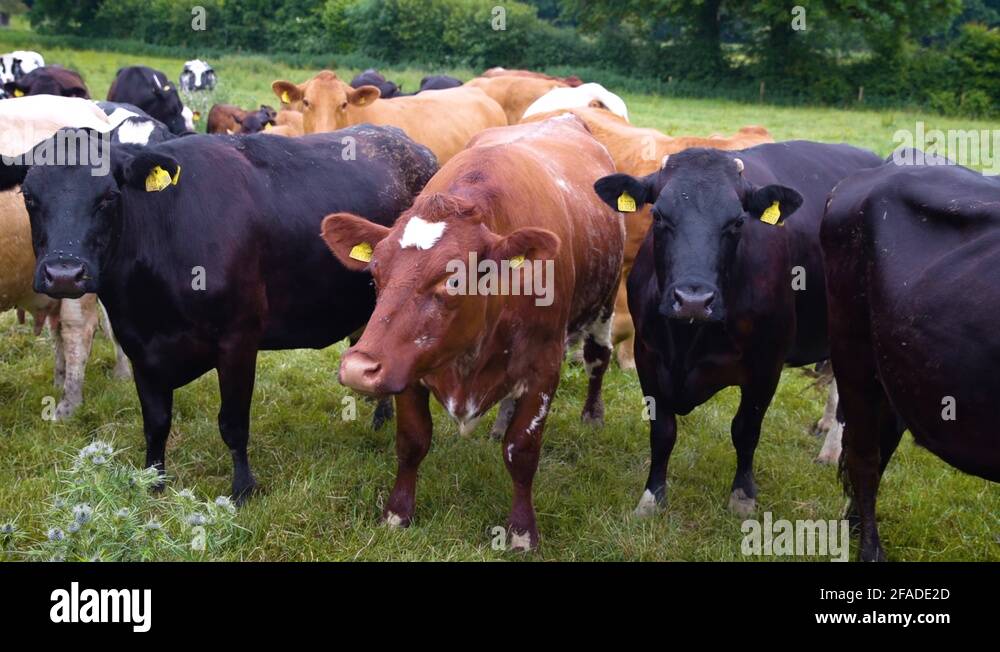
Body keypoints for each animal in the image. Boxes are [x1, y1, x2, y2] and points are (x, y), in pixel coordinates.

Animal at [21, 125, 437, 502]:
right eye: (28, 196)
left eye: (108, 196)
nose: (64, 273)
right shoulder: (140, 346)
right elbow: (156, 423)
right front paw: (153, 482)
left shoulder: (238, 339)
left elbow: (233, 423)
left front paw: (243, 489)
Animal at [321, 116, 624, 550]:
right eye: (375, 272)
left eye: (453, 280)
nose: (358, 368)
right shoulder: (406, 364)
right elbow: (412, 441)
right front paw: (397, 514)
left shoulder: (544, 369)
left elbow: (521, 451)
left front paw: (522, 532)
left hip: (605, 302)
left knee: (597, 359)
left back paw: (592, 416)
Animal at [593, 141, 882, 518]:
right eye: (658, 216)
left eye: (737, 221)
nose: (693, 300)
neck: (687, 341)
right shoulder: (648, 356)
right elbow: (662, 432)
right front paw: (651, 499)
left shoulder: (766, 366)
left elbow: (745, 430)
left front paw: (742, 497)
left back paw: (832, 449)